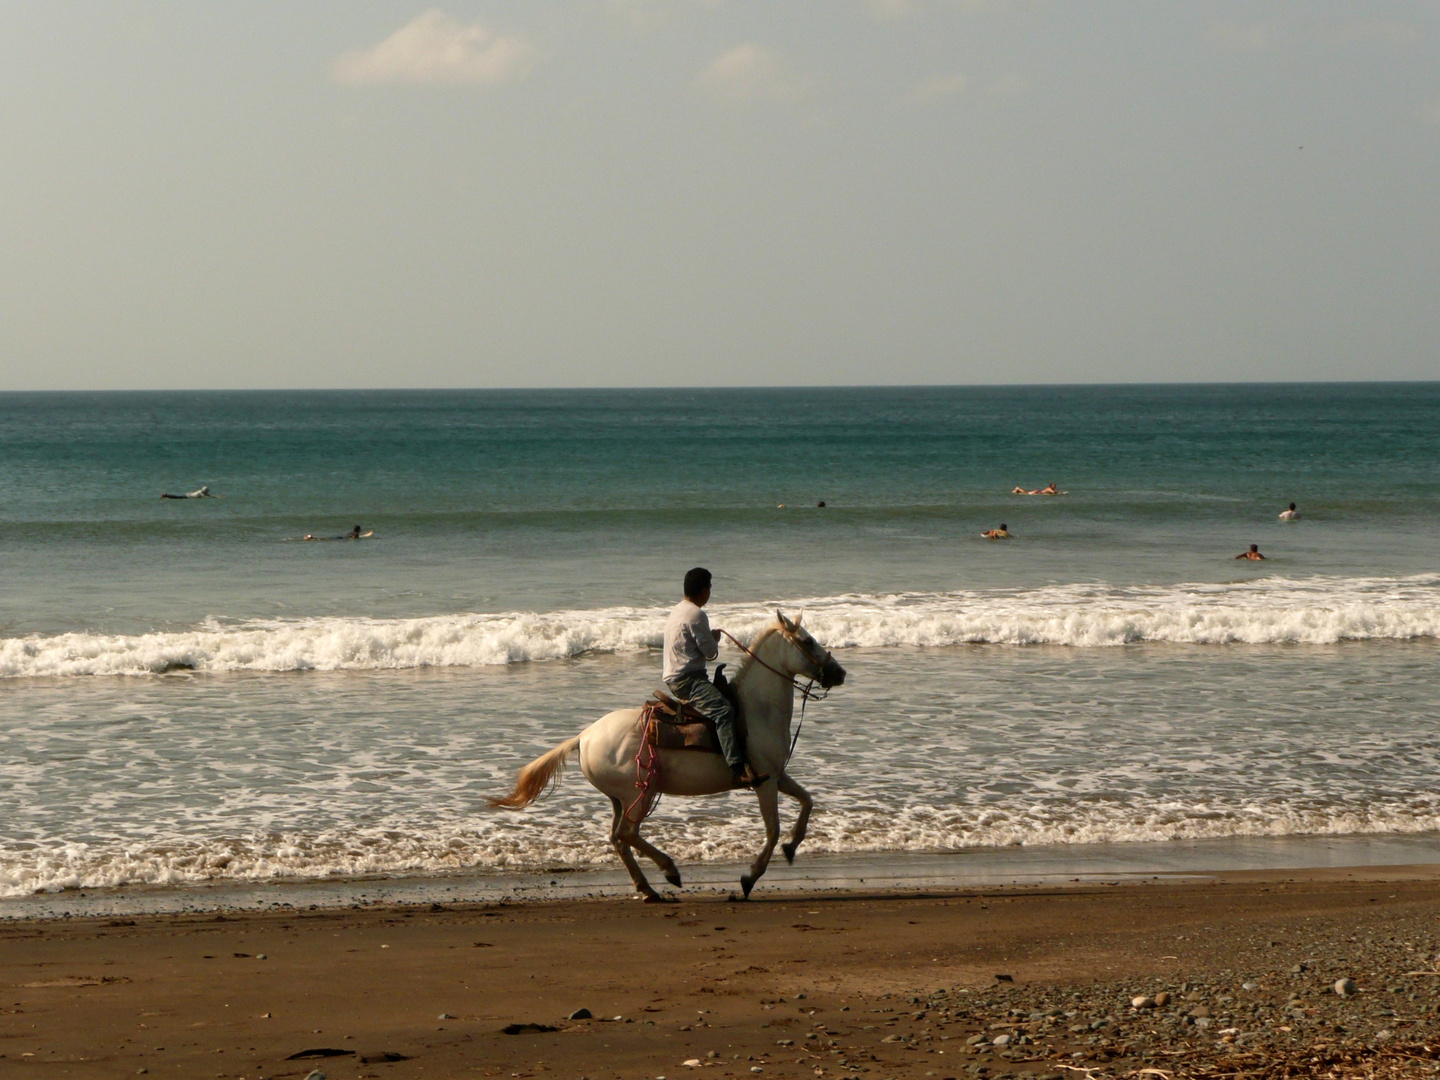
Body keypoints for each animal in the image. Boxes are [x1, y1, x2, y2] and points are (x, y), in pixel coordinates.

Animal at [492, 613, 840, 898]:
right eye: (807, 640)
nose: (840, 673)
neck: (757, 710)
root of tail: (584, 737)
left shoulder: (777, 775)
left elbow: (807, 802)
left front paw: (792, 847)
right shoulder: (764, 782)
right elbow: (773, 829)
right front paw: (750, 877)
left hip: (621, 798)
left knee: (619, 838)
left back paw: (648, 888)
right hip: (639, 793)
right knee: (627, 834)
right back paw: (669, 870)